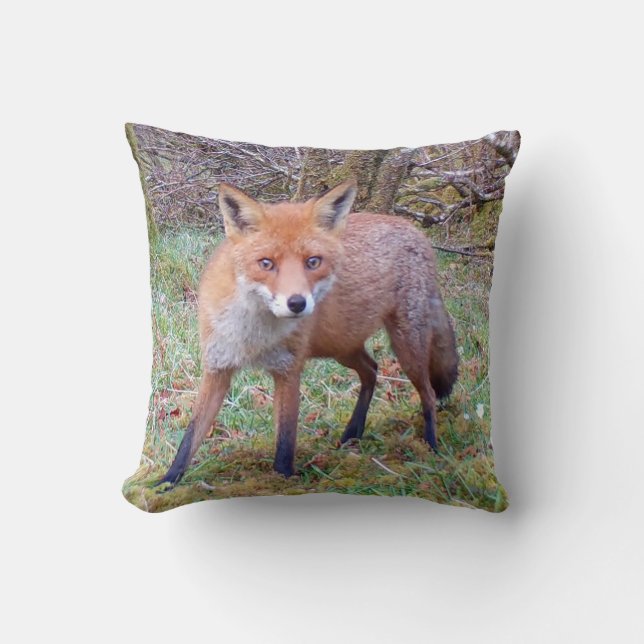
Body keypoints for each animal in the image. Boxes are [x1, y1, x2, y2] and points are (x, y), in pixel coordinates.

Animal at [159, 178, 458, 485]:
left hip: (405, 346)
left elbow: (285, 441)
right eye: (266, 263)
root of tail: (415, 231)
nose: (297, 303)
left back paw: (431, 447)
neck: (254, 335)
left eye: (313, 262)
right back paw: (352, 434)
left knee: (428, 394)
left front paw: (282, 481)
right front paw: (165, 483)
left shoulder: (288, 370)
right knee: (372, 370)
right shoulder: (217, 367)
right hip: (342, 347)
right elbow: (190, 437)